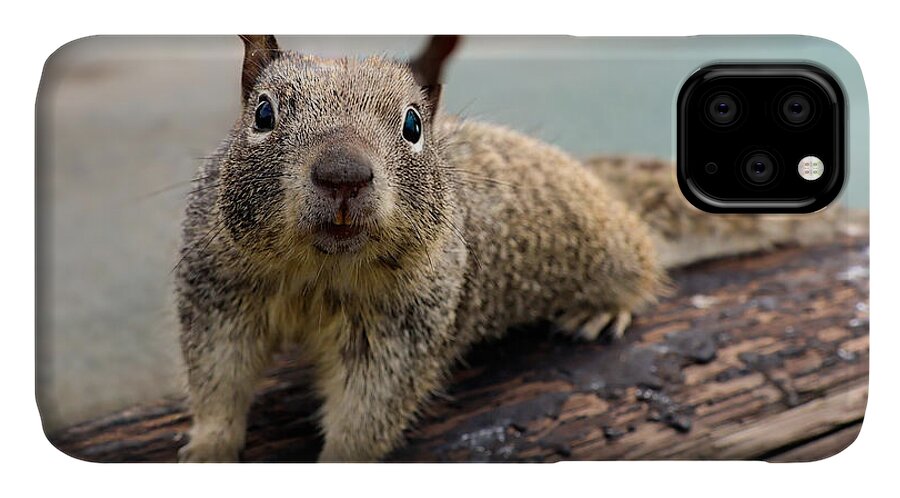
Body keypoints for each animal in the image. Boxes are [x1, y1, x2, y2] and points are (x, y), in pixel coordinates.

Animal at [175, 35, 839, 462]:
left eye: (413, 125)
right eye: (262, 114)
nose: (343, 174)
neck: (320, 272)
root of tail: (601, 184)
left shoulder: (404, 328)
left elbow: (369, 410)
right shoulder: (219, 291)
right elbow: (218, 377)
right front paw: (207, 449)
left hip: (611, 246)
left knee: (643, 261)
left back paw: (604, 307)